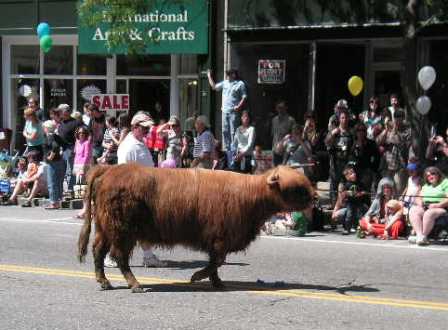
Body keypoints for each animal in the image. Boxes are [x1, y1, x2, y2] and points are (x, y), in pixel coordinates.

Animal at [78, 164, 312, 292]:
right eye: (297, 188)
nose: (315, 198)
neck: (250, 195)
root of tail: (109, 169)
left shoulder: (217, 240)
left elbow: (216, 264)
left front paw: (217, 282)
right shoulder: (220, 238)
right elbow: (216, 262)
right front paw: (197, 277)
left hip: (106, 228)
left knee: (99, 251)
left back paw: (104, 281)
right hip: (122, 231)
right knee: (120, 257)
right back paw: (135, 284)